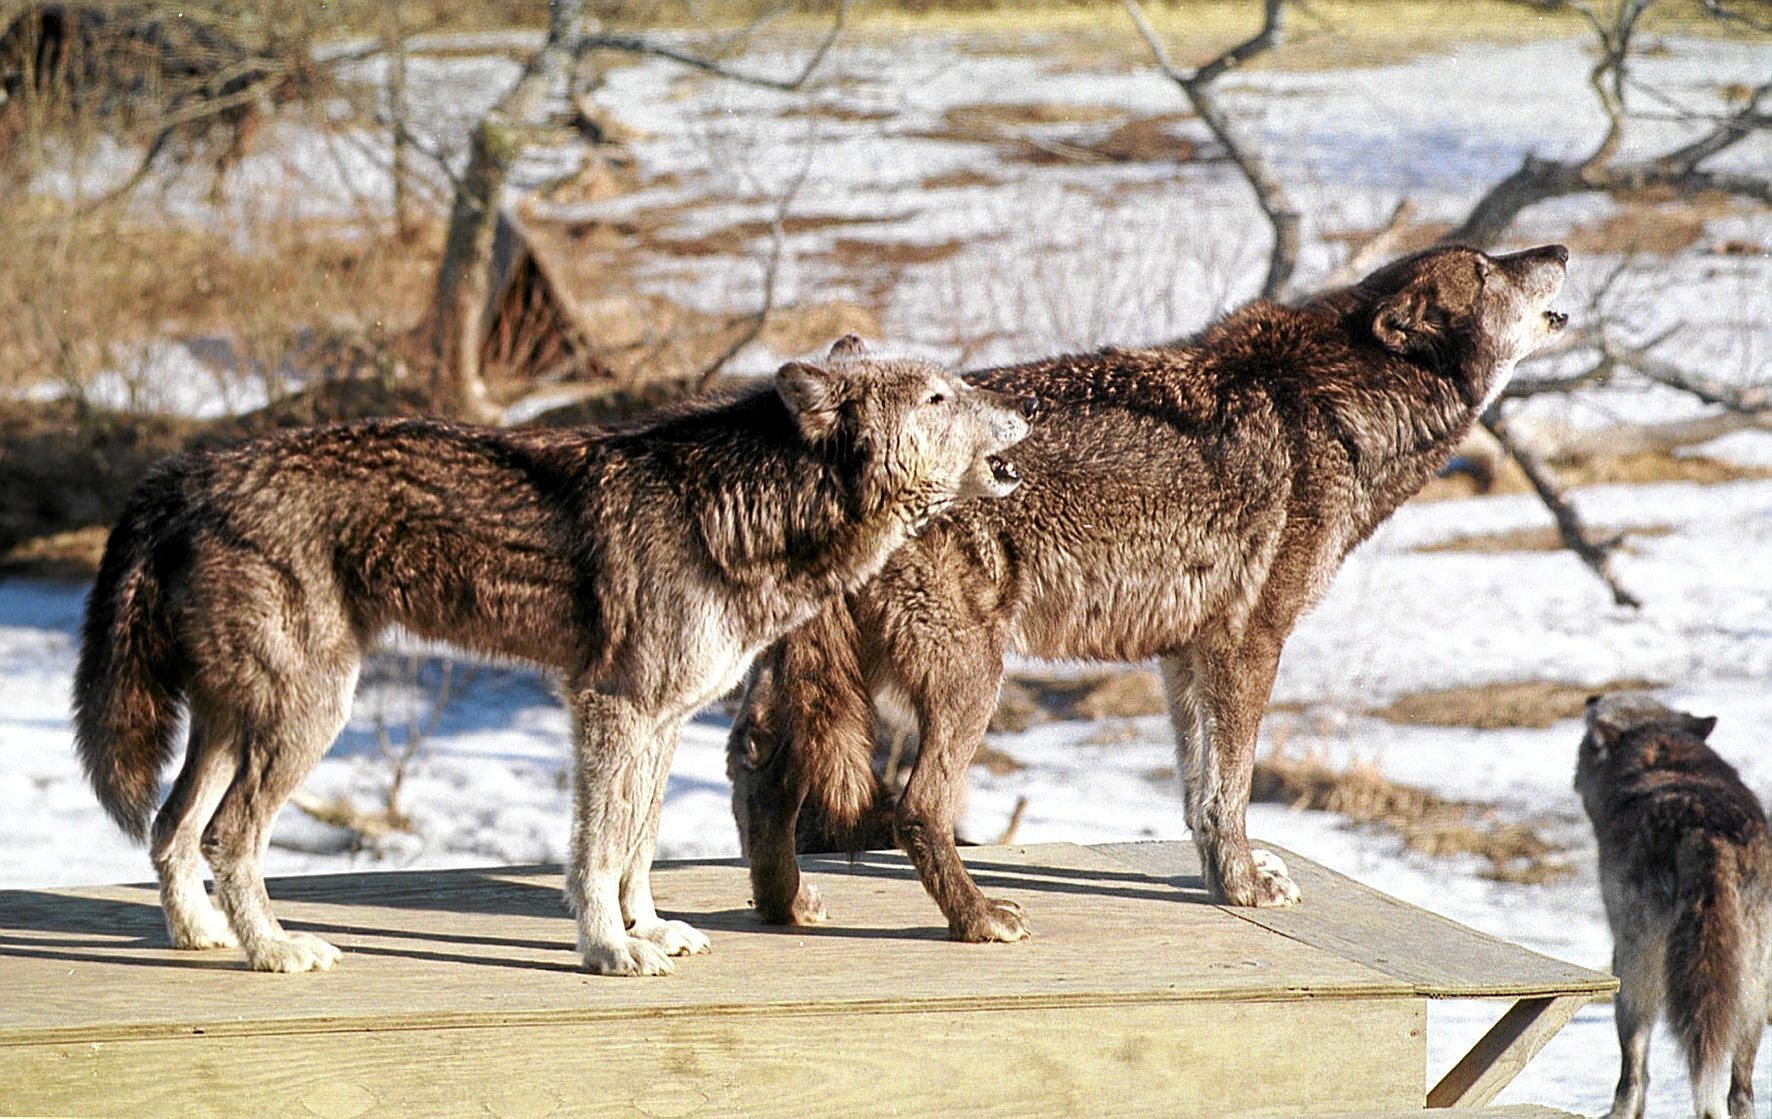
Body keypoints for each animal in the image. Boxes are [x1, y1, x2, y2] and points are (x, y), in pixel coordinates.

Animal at [72, 338, 1034, 971]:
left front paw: (647, 929)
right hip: (306, 718)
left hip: (236, 725)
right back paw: (271, 949)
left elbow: (638, 843)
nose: (1024, 413)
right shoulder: (612, 707)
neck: (735, 505)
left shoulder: (662, 721)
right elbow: (596, 852)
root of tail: (190, 472)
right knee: (227, 833)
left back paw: (201, 935)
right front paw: (608, 949)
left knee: (171, 827)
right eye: (938, 399)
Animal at [726, 241, 1573, 943]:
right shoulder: (1250, 643)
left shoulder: (1185, 652)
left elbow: (1198, 791)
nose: (1561, 248)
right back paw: (979, 919)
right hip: (970, 679)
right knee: (917, 805)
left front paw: (1225, 879)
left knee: (756, 769)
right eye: (1487, 268)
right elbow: (1231, 789)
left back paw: (785, 905)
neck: (1330, 408)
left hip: (823, 678)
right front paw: (1244, 885)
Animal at [1580, 695, 1772, 1113]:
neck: (1662, 752)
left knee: (1633, 1074)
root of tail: (1705, 832)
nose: (1590, 698)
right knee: (1740, 1090)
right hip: (1751, 980)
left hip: (1635, 971)